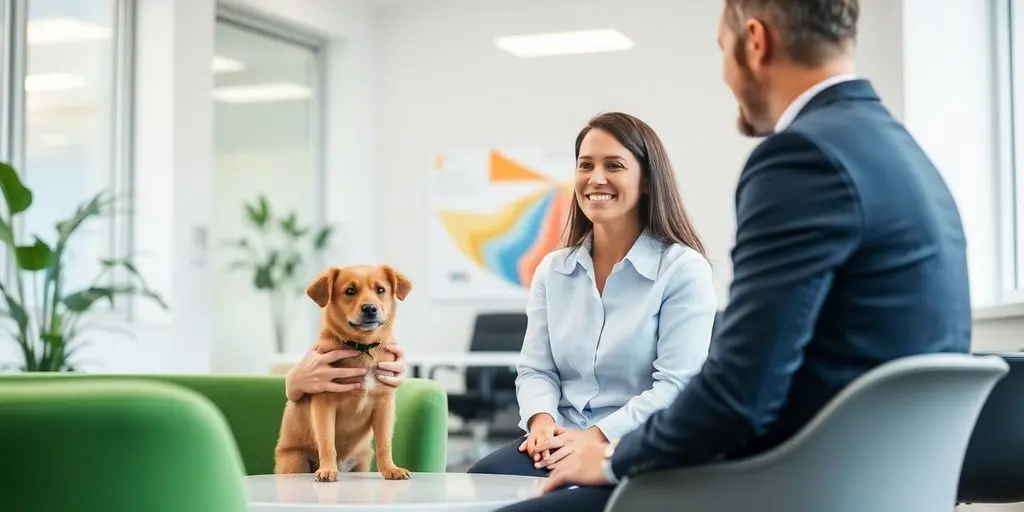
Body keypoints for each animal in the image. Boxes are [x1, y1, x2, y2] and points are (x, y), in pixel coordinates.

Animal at [276, 262, 415, 481]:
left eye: (380, 290)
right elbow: (327, 442)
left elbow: (384, 443)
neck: (363, 348)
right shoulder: (323, 405)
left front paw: (390, 468)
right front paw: (327, 469)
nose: (370, 308)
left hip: (362, 462)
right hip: (293, 461)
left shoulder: (384, 405)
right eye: (350, 291)